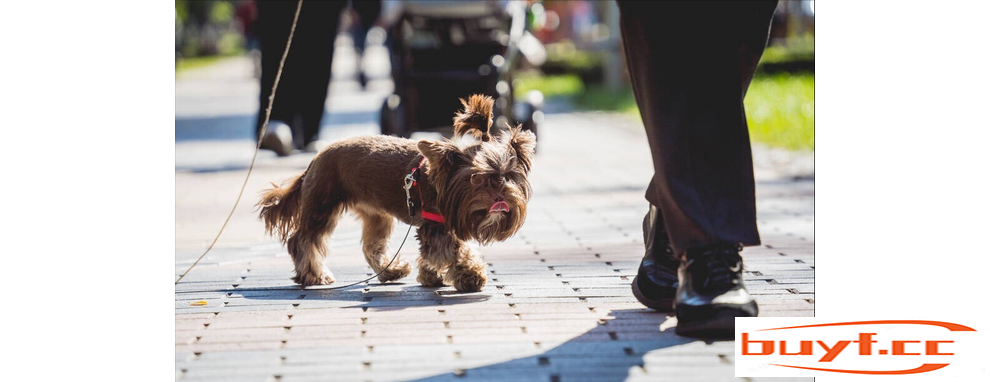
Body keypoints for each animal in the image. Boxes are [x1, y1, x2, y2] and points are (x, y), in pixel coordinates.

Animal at [256, 95, 536, 292]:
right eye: (477, 179)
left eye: (510, 177)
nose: (502, 197)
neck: (442, 180)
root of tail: (315, 159)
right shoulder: (436, 224)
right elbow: (454, 251)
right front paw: (471, 275)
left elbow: (433, 254)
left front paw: (430, 275)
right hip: (323, 205)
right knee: (303, 240)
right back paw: (314, 275)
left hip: (376, 215)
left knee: (372, 245)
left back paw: (392, 271)